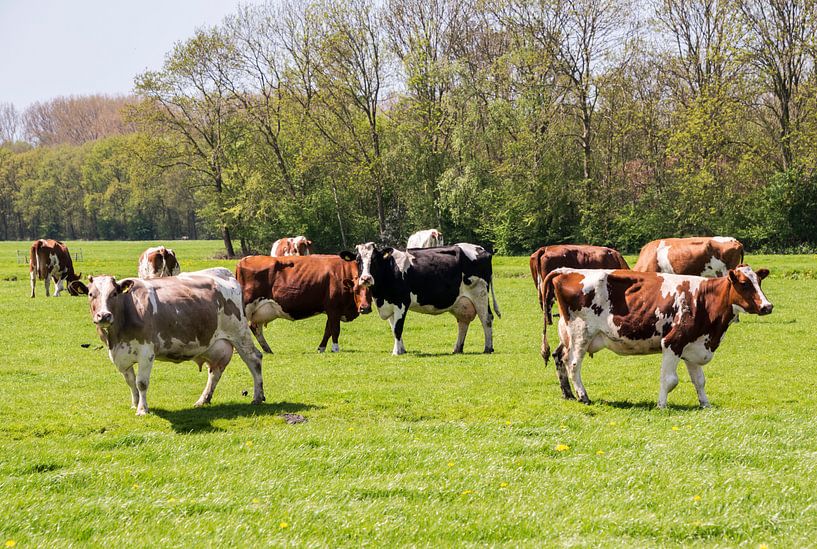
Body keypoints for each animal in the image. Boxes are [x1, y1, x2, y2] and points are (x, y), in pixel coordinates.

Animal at [70, 270, 265, 415]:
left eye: (114, 293)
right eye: (91, 294)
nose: (104, 315)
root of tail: (224, 273)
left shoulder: (146, 352)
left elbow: (141, 382)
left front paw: (142, 409)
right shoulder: (120, 355)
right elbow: (131, 382)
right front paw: (135, 404)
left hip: (239, 332)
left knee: (254, 359)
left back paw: (258, 396)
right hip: (215, 344)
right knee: (215, 371)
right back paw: (203, 399)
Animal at [236, 255, 372, 353]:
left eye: (371, 289)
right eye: (356, 290)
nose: (365, 308)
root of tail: (243, 260)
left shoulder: (331, 310)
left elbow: (327, 330)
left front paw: (321, 348)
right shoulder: (334, 308)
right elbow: (335, 329)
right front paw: (335, 349)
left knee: (255, 328)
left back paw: (267, 350)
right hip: (246, 307)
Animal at [340, 243, 501, 355]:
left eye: (374, 259)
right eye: (358, 260)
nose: (366, 278)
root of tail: (482, 249)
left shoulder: (401, 303)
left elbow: (398, 328)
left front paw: (396, 352)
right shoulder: (388, 304)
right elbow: (393, 328)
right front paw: (401, 349)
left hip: (480, 294)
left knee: (486, 319)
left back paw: (488, 348)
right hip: (461, 302)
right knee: (463, 322)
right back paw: (457, 349)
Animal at [540, 265, 772, 408]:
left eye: (759, 282)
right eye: (744, 284)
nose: (767, 306)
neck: (703, 300)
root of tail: (567, 270)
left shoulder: (693, 345)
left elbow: (699, 381)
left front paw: (705, 404)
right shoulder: (672, 343)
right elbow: (670, 380)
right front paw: (661, 405)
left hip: (567, 334)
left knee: (558, 356)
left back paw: (568, 394)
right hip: (581, 333)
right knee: (572, 364)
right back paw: (583, 396)